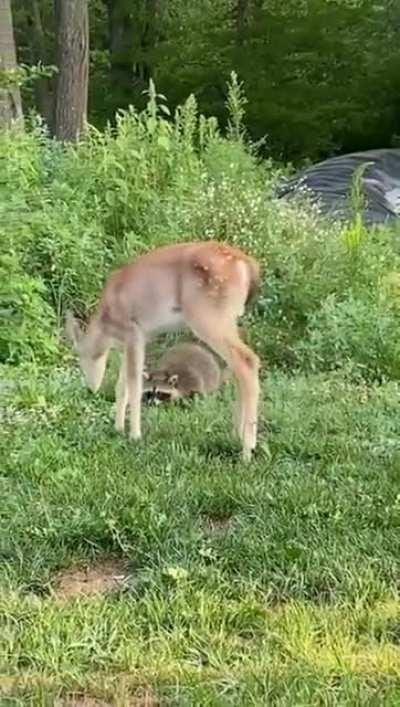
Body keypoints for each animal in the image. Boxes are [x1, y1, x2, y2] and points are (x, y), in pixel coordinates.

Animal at [65, 240, 261, 462]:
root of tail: (248, 265)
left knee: (247, 360)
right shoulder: (130, 342)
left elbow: (134, 385)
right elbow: (121, 385)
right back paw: (237, 435)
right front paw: (118, 428)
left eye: (81, 357)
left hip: (208, 317)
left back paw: (247, 450)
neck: (106, 325)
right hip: (228, 319)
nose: (91, 388)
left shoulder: (135, 332)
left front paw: (134, 435)